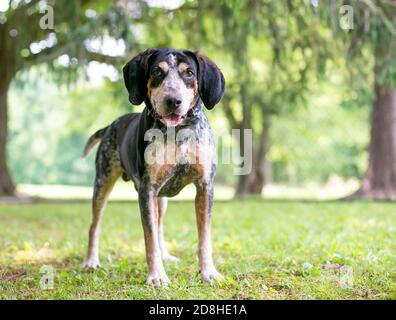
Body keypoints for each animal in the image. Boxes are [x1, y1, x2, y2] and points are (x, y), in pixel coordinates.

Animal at [80, 47, 226, 284]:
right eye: (157, 71)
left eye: (189, 73)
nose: (173, 100)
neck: (178, 133)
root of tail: (110, 126)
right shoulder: (147, 190)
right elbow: (149, 240)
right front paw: (156, 275)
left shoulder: (205, 187)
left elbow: (204, 238)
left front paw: (208, 272)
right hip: (103, 184)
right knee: (95, 226)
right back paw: (90, 261)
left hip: (161, 199)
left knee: (159, 227)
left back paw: (166, 255)